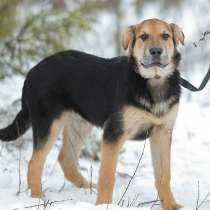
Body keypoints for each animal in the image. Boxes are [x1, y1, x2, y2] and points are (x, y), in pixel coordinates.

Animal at [0, 18, 184, 210]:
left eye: (165, 36)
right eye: (143, 36)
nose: (156, 51)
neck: (152, 81)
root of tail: (31, 72)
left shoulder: (162, 133)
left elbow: (164, 175)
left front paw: (171, 205)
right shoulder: (114, 133)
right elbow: (107, 175)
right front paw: (104, 204)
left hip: (79, 123)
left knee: (66, 158)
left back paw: (86, 187)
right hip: (49, 123)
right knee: (35, 163)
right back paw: (37, 199)